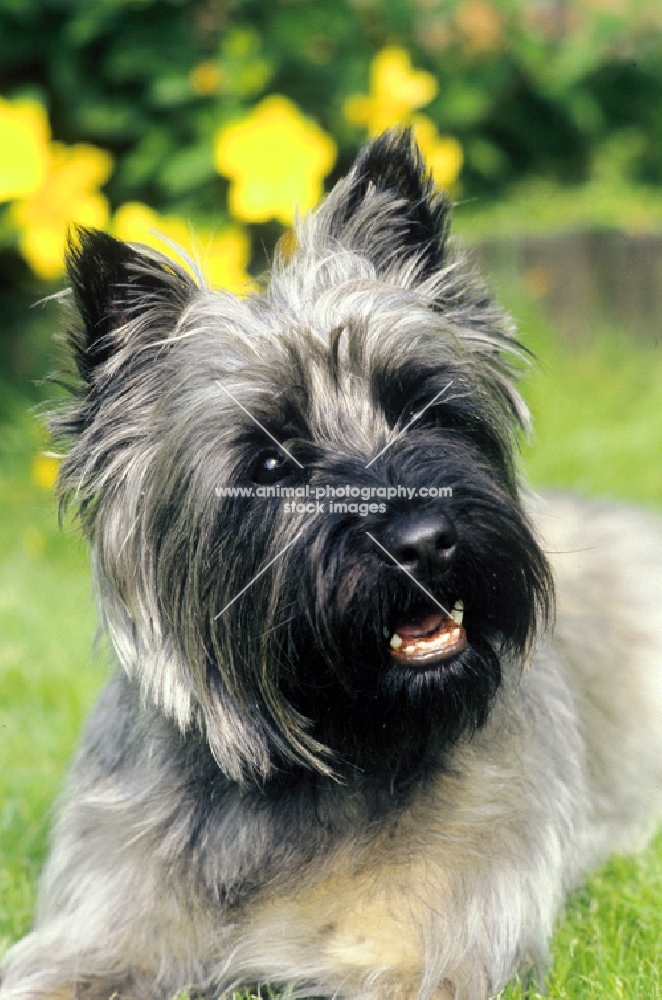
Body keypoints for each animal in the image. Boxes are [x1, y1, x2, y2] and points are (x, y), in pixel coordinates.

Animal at [3, 131, 662, 1000]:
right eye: (272, 462)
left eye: (423, 409)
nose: (425, 540)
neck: (326, 758)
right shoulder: (97, 936)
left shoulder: (405, 955)